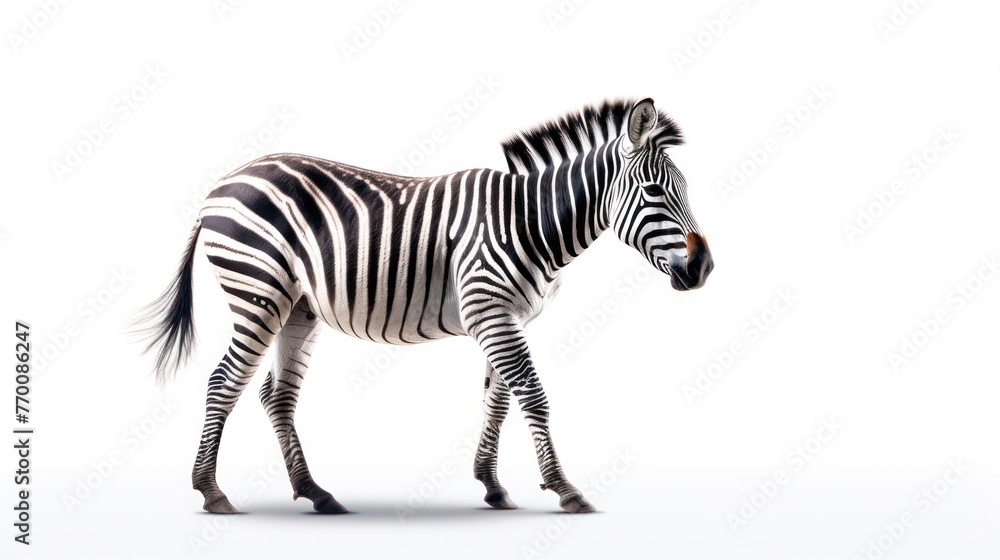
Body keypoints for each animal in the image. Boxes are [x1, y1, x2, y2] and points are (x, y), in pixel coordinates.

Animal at [137, 97, 713, 515]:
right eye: (654, 191)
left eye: (684, 188)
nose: (704, 267)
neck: (529, 221)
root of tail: (224, 182)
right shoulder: (488, 306)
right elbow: (533, 394)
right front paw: (565, 488)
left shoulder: (502, 314)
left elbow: (497, 399)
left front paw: (492, 485)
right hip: (258, 292)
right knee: (223, 382)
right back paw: (212, 492)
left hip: (297, 306)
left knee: (276, 396)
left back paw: (316, 493)